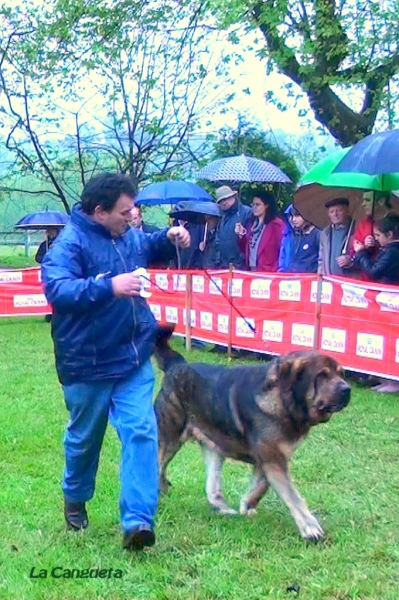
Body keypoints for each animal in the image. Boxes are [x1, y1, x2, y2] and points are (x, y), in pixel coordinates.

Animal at [153, 328, 350, 540]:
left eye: (341, 374)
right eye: (322, 375)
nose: (347, 389)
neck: (283, 400)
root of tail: (177, 365)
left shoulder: (272, 457)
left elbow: (263, 485)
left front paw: (247, 504)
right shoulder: (272, 458)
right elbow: (292, 495)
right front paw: (310, 527)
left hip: (214, 445)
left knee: (212, 485)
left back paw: (222, 508)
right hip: (170, 436)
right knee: (158, 465)